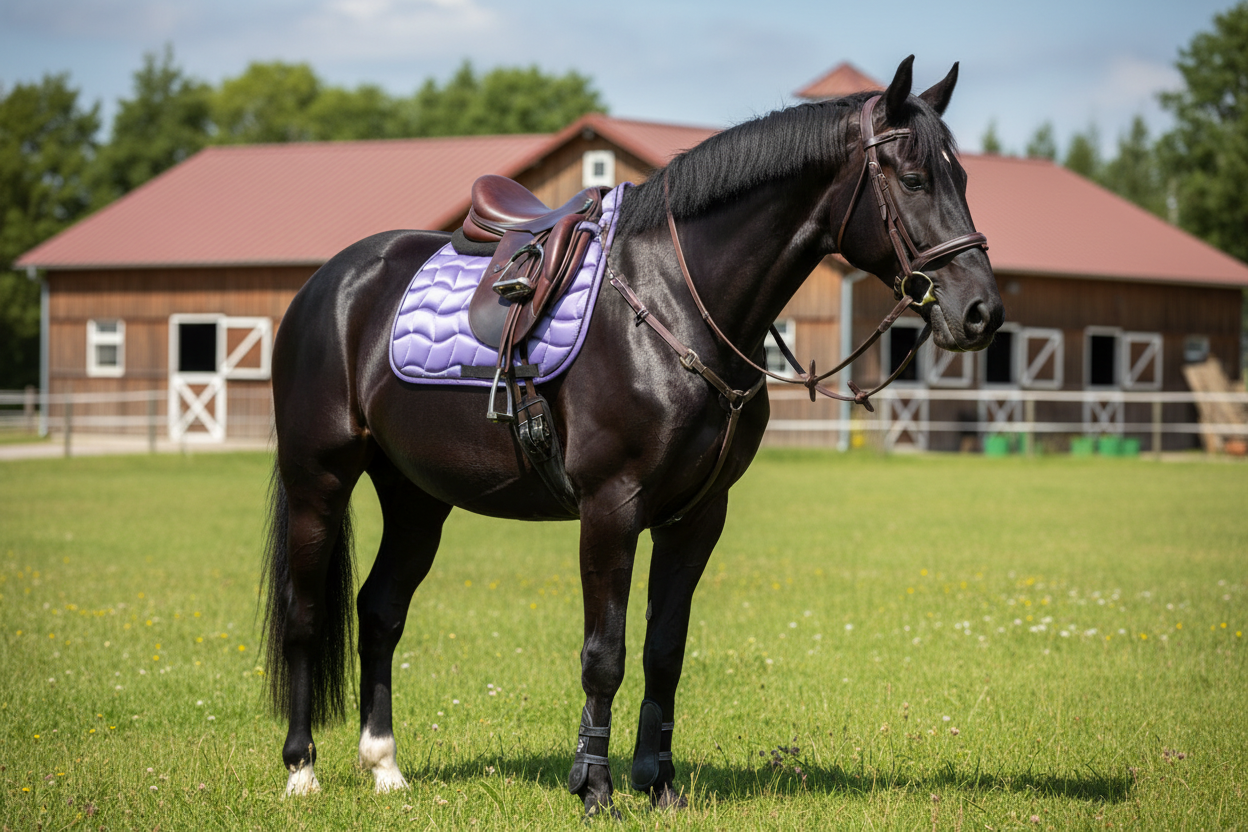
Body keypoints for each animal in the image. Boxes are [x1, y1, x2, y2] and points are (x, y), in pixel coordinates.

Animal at [261, 55, 1004, 815]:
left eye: (963, 179)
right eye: (913, 179)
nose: (981, 311)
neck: (675, 301)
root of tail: (329, 283)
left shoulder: (696, 516)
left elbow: (663, 651)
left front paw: (660, 781)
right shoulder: (610, 508)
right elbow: (605, 654)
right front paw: (594, 785)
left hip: (416, 496)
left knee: (380, 611)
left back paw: (384, 766)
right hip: (320, 480)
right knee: (305, 614)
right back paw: (300, 770)